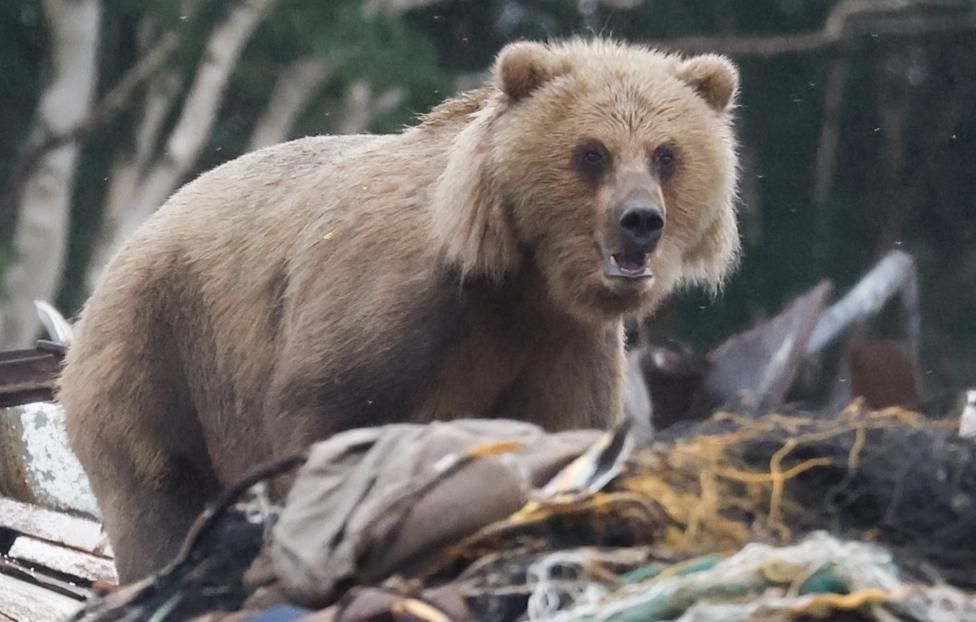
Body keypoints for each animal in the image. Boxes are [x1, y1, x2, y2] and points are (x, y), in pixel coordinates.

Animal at [57, 39, 740, 584]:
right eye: (592, 152)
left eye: (666, 154)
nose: (640, 221)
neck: (521, 279)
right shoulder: (391, 307)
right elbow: (327, 414)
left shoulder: (564, 343)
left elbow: (559, 432)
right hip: (159, 347)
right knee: (157, 493)